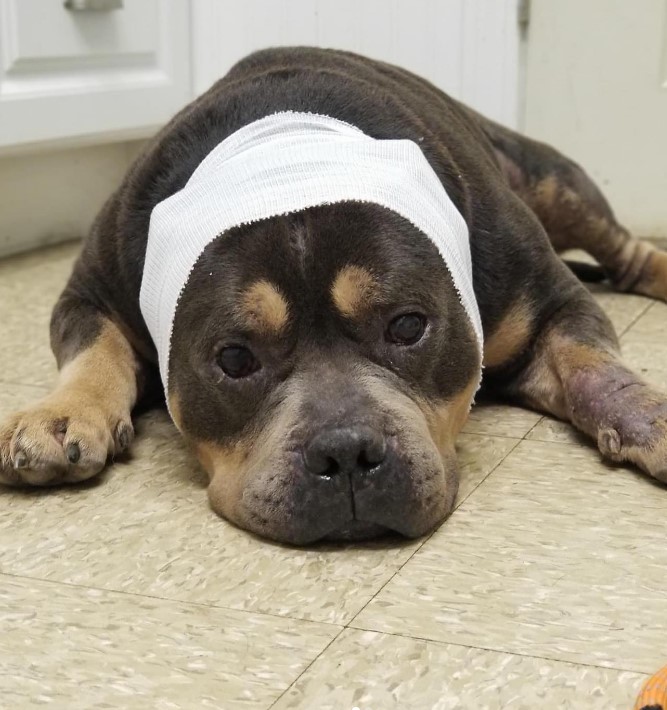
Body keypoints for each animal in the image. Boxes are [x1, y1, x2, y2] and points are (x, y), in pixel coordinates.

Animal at [1, 46, 667, 544]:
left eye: (408, 326)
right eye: (234, 359)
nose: (345, 454)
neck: (285, 146)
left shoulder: (550, 299)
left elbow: (592, 365)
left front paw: (644, 412)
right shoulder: (92, 290)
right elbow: (95, 348)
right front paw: (63, 414)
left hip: (558, 186)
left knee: (626, 254)